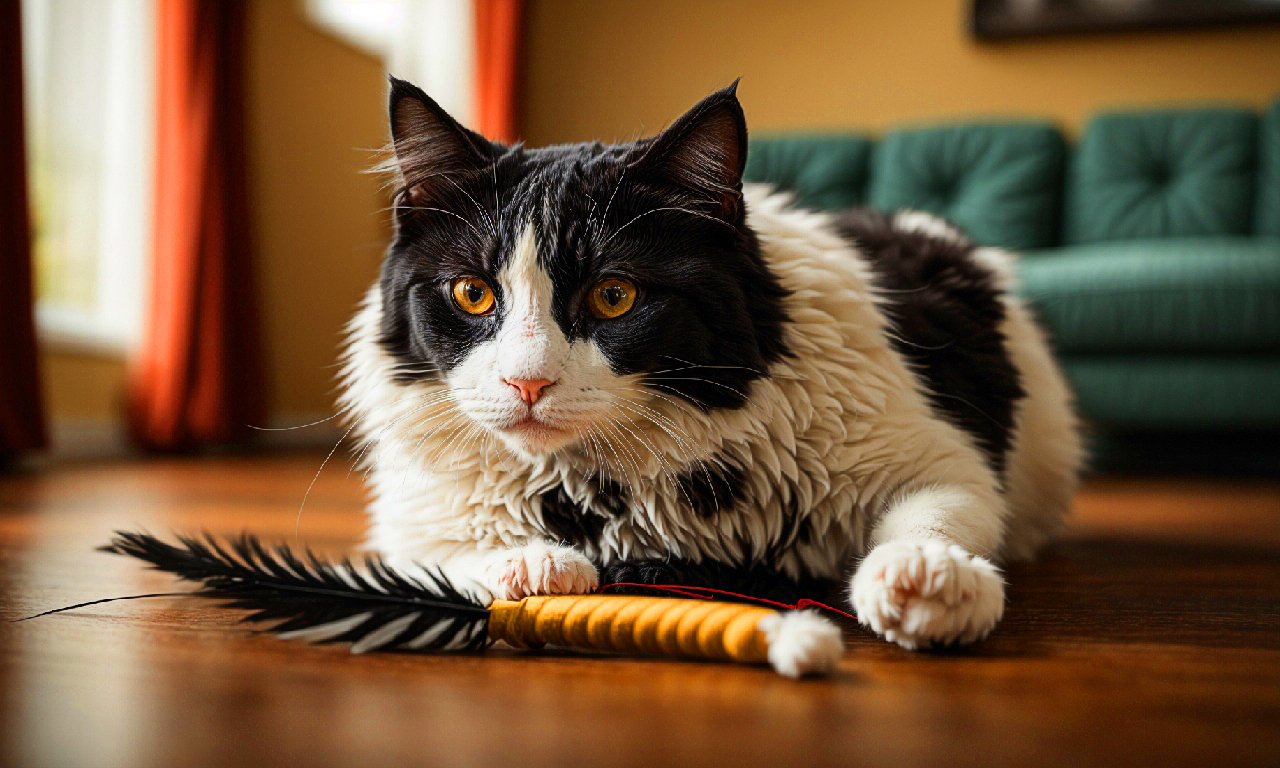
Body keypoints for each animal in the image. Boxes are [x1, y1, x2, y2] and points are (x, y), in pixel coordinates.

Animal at [337, 78, 1080, 660]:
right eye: (473, 294)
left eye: (614, 296)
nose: (527, 383)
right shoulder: (410, 514)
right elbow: (447, 549)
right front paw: (532, 564)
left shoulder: (941, 461)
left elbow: (933, 518)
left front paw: (926, 585)